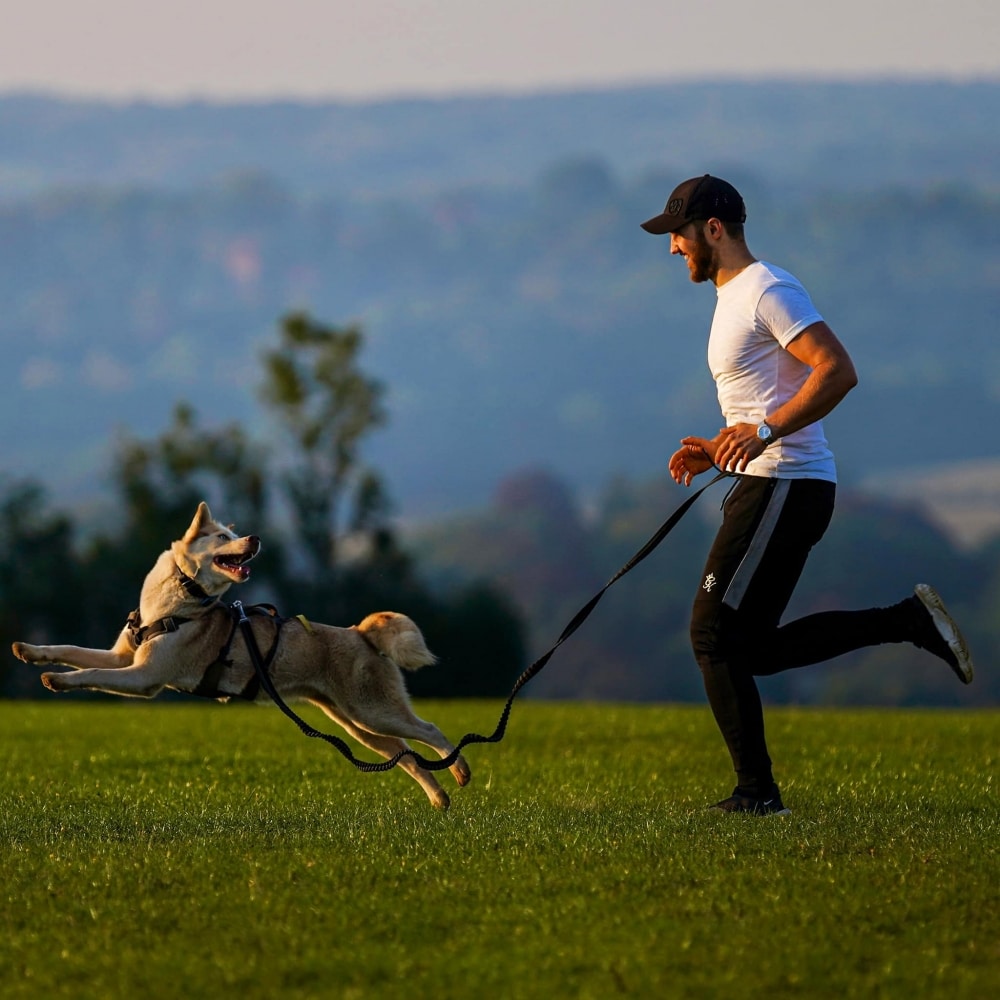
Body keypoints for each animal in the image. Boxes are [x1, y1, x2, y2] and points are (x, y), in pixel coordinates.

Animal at [10, 504, 472, 808]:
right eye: (222, 537)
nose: (255, 538)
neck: (176, 601)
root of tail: (361, 633)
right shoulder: (124, 658)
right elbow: (71, 650)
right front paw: (30, 652)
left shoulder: (144, 677)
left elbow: (87, 671)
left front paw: (58, 680)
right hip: (355, 723)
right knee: (405, 754)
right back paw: (439, 797)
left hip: (372, 709)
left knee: (429, 730)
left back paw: (460, 769)